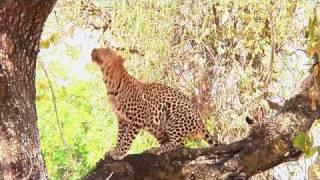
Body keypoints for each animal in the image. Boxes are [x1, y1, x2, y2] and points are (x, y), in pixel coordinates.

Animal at [91, 47, 219, 160]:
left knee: (178, 142)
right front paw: (115, 150)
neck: (110, 83)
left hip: (173, 118)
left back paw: (157, 149)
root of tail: (201, 122)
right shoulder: (122, 119)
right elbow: (120, 136)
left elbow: (127, 137)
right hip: (159, 130)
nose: (94, 49)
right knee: (179, 144)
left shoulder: (138, 117)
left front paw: (119, 153)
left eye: (107, 50)